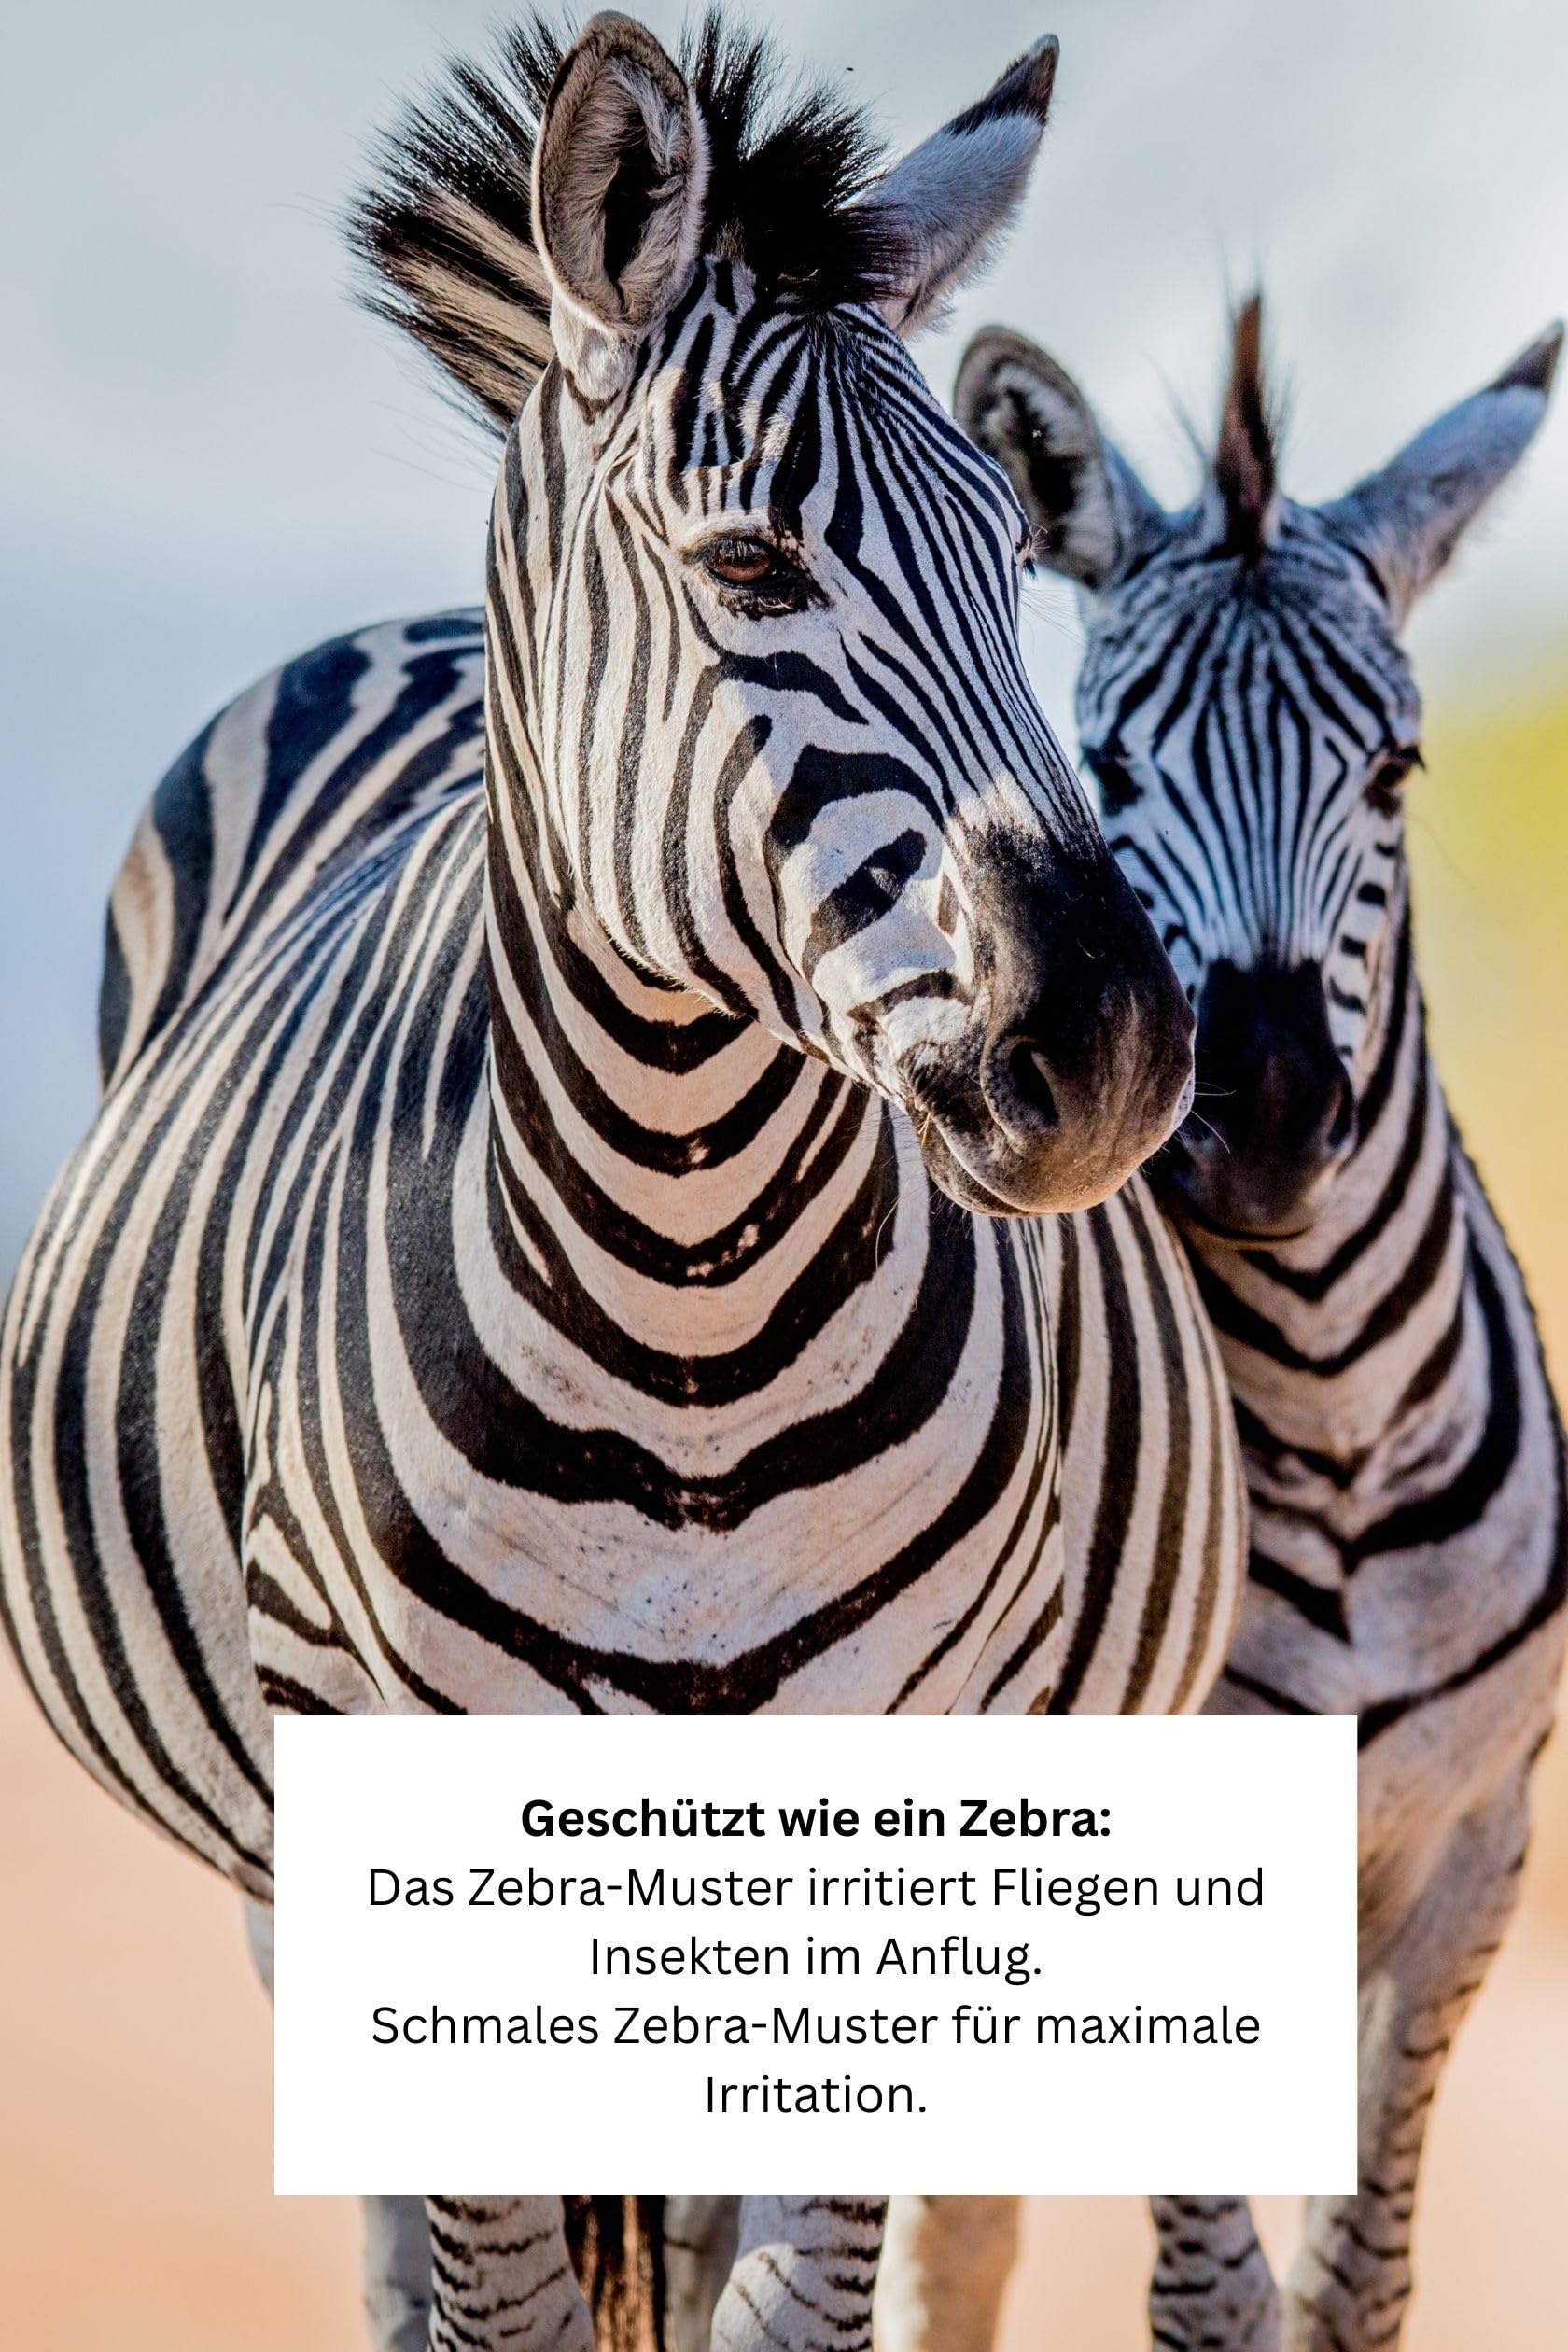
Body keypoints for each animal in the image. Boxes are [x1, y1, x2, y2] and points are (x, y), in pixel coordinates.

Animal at [0, 13, 1247, 2351]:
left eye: (1010, 561)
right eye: (749, 569)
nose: (1121, 1056)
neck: (691, 1321)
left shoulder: (897, 1801)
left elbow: (792, 2298)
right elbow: (503, 2307)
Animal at [956, 294, 1568, 2350]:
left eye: (1396, 776)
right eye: (1106, 767)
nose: (1271, 1116)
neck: (1333, 1419)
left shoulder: (1474, 1859)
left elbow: (1355, 2282)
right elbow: (1208, 2298)